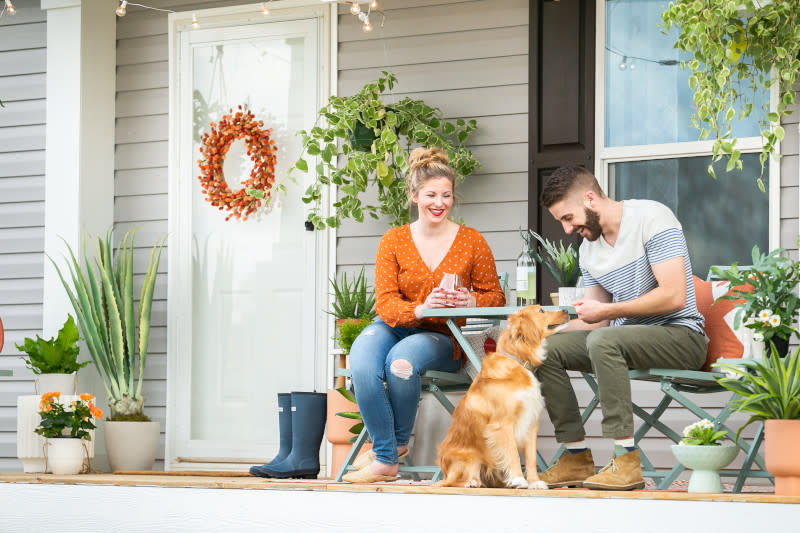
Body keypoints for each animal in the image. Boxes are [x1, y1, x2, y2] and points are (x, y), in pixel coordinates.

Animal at [438, 306, 568, 488]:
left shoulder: (531, 421)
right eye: (541, 310)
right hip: (470, 455)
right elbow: (513, 453)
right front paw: (519, 479)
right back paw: (471, 482)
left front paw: (534, 482)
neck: (519, 361)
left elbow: (531, 458)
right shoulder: (502, 424)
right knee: (450, 482)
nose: (566, 310)